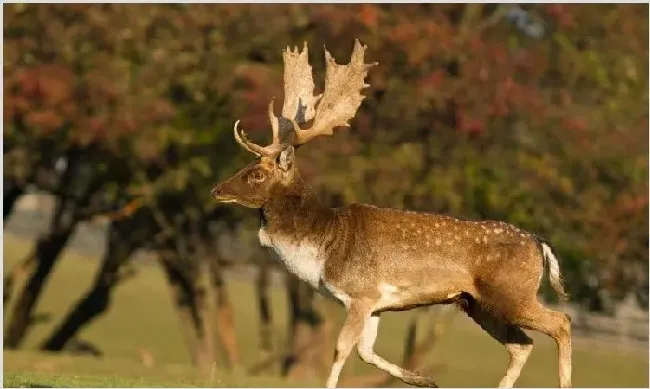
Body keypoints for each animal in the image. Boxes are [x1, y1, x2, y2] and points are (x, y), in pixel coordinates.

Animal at [210, 40, 568, 388]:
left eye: (257, 174)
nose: (217, 190)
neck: (323, 248)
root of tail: (540, 244)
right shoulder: (376, 305)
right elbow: (366, 352)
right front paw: (423, 379)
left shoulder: (361, 293)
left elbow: (342, 349)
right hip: (477, 304)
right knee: (522, 344)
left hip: (511, 294)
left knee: (560, 322)